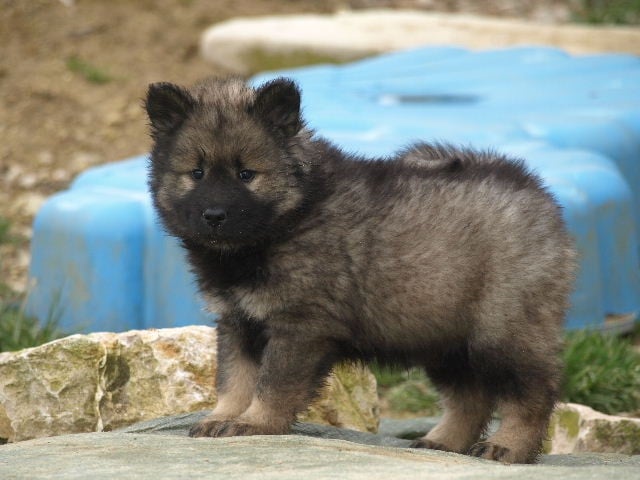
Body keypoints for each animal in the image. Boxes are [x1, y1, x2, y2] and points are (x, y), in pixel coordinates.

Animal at [145, 77, 575, 464]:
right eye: (196, 173)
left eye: (246, 174)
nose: (214, 215)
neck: (291, 217)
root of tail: (534, 190)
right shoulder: (237, 322)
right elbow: (234, 379)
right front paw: (222, 417)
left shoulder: (299, 327)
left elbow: (273, 384)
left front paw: (256, 423)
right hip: (443, 336)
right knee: (470, 397)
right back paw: (443, 442)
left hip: (503, 329)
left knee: (533, 393)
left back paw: (508, 446)